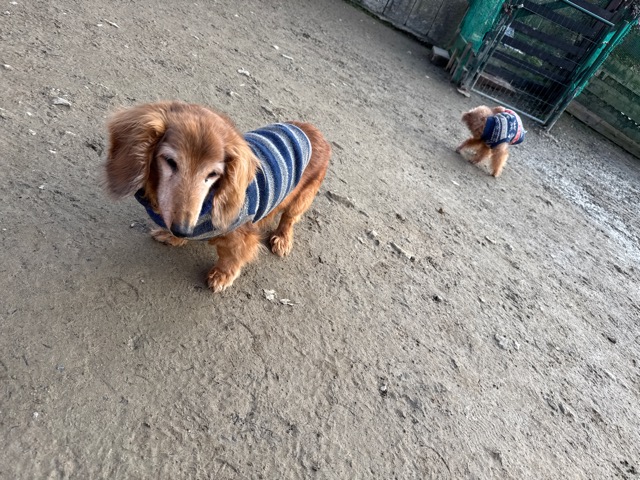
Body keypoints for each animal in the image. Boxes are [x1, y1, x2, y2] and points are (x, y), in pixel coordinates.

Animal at [105, 101, 331, 292]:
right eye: (170, 161)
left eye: (213, 174)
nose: (182, 229)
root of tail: (313, 130)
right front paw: (171, 236)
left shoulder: (241, 235)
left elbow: (232, 256)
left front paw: (222, 276)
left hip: (302, 197)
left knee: (289, 218)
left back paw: (282, 238)